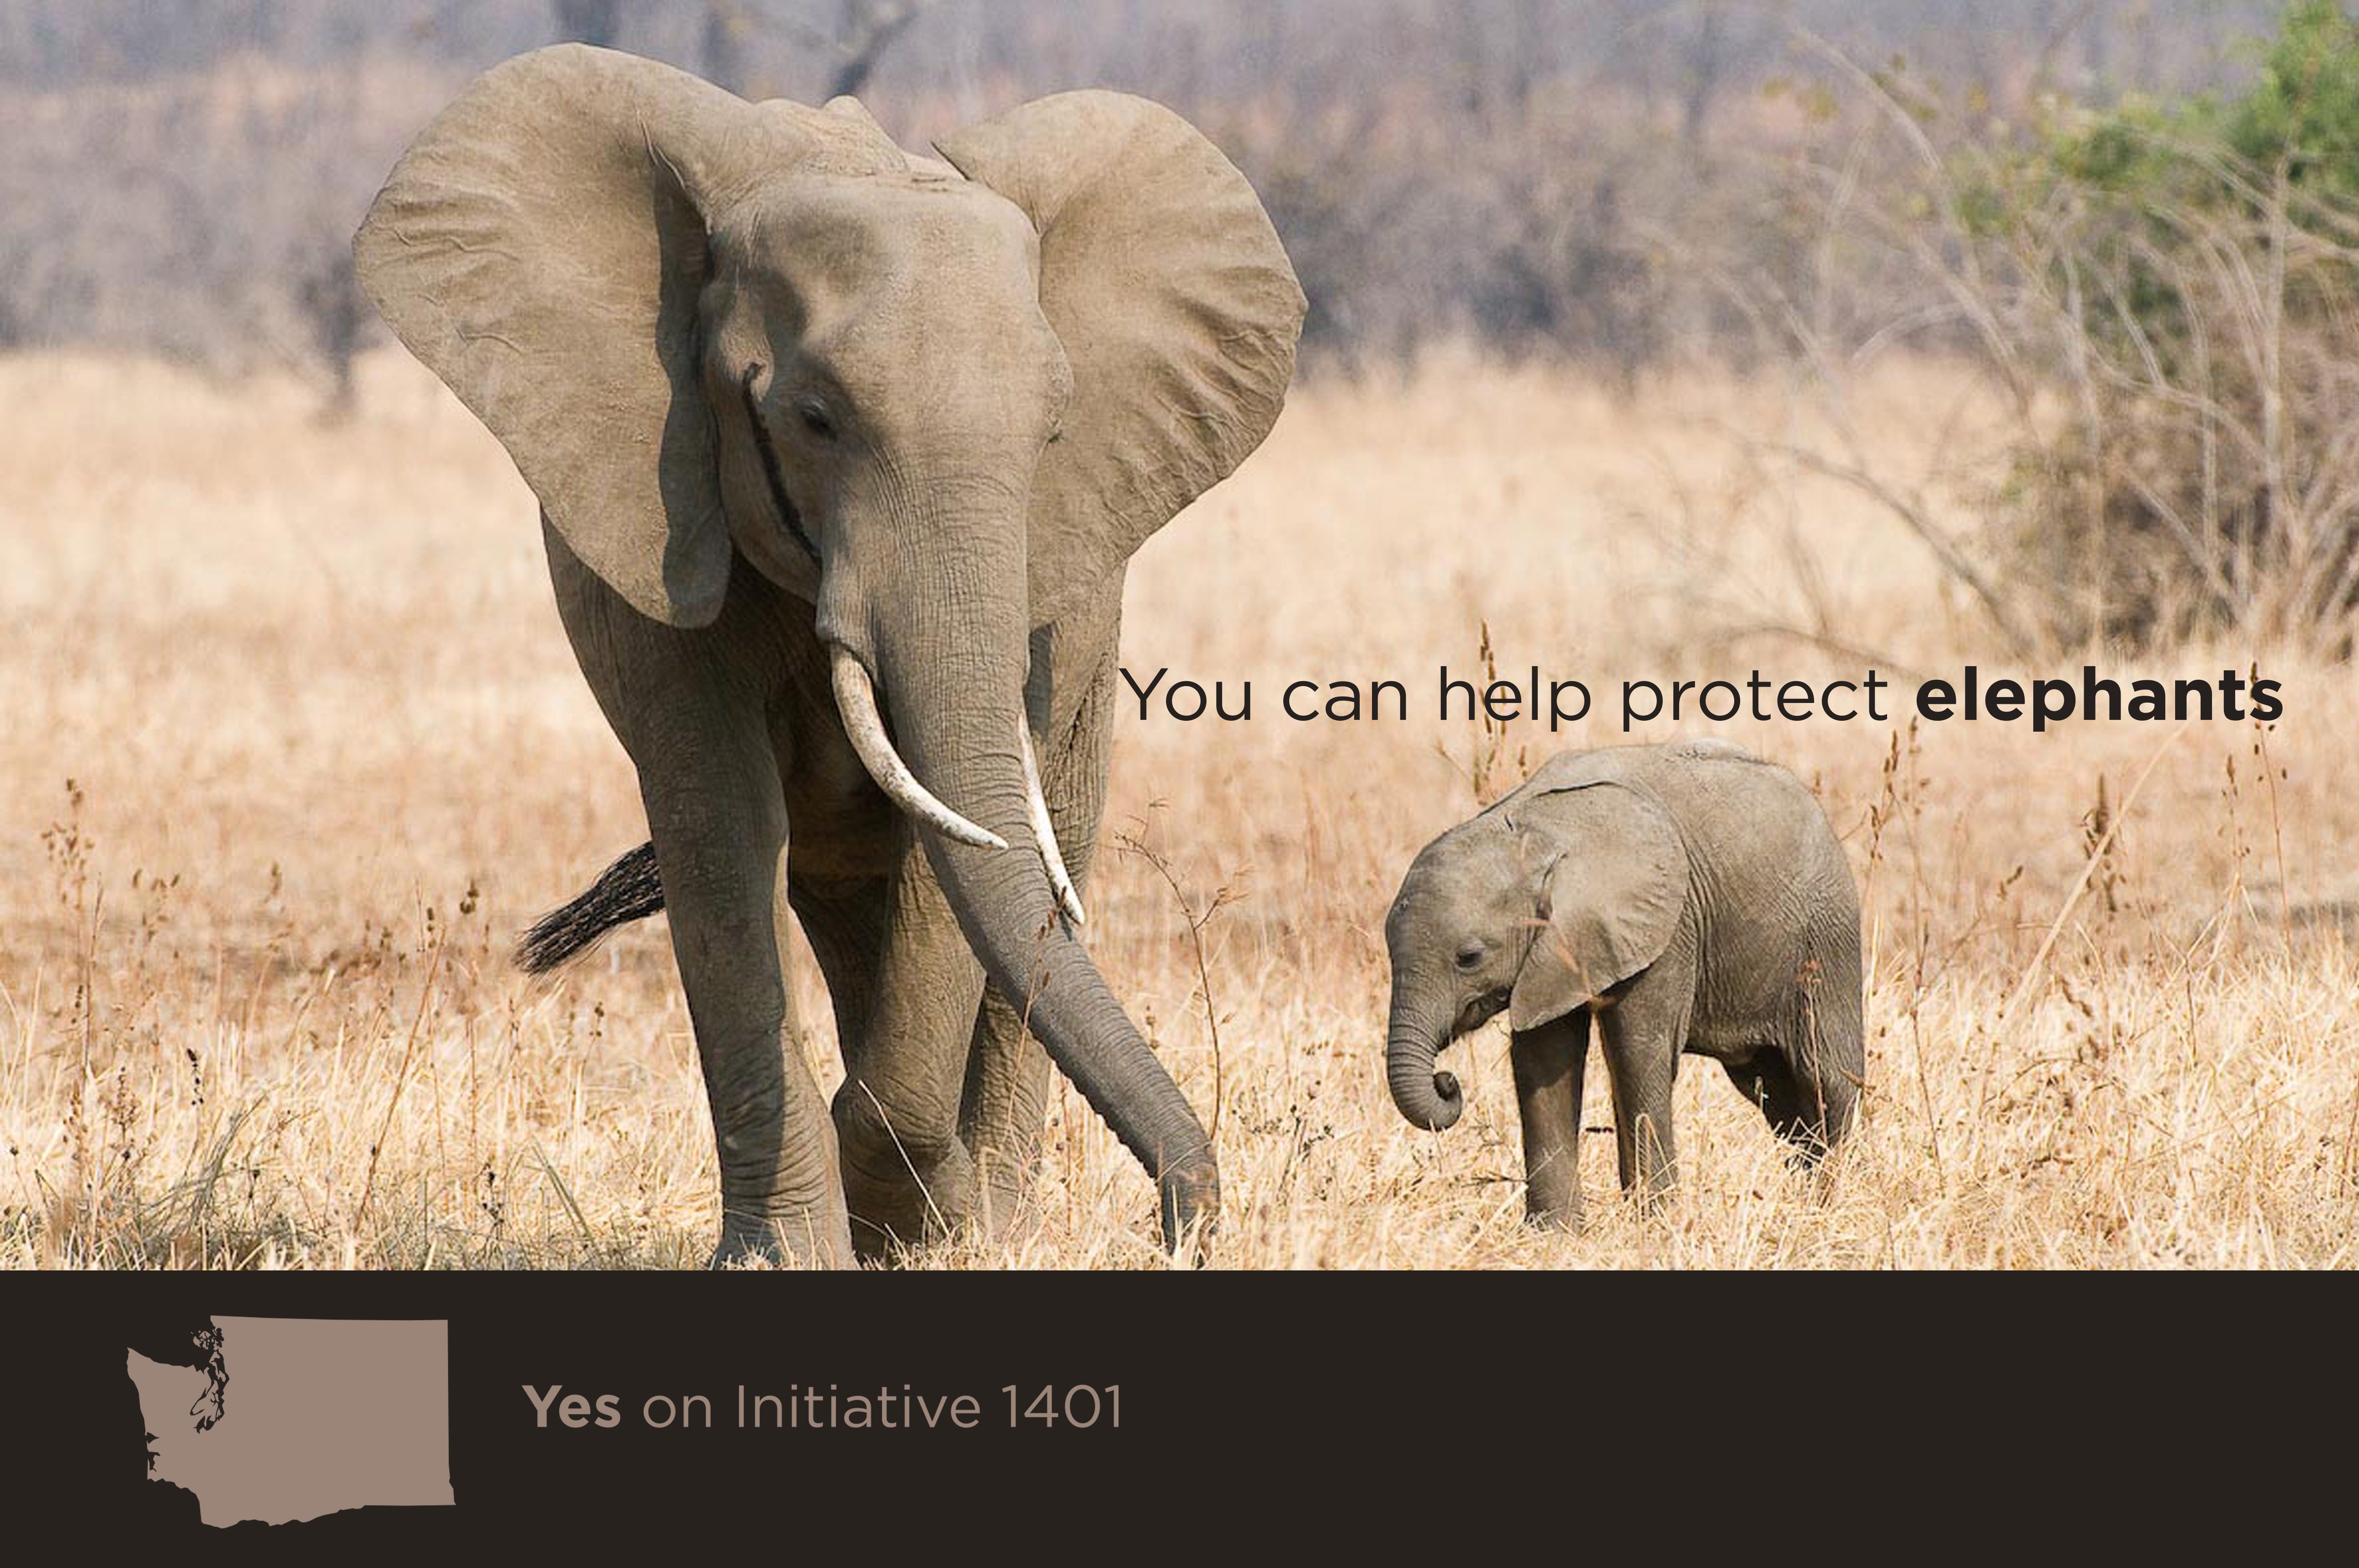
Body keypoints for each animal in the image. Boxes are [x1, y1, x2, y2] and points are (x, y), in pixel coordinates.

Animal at [353, 45, 1305, 1266]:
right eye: (813, 420)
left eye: (1053, 435)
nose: (1181, 1223)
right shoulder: (664, 522)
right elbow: (721, 829)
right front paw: (797, 1251)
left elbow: (965, 844)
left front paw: (926, 1225)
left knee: (1038, 863)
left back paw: (987, 1221)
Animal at [1382, 740, 1862, 1227]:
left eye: (1469, 958)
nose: (1447, 1082)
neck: (1535, 832)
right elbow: (1544, 1061)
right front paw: (1555, 1233)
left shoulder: (1667, 928)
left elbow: (1638, 1053)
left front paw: (1657, 1223)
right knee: (1776, 1095)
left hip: (1825, 937)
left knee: (1824, 1079)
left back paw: (1831, 1206)